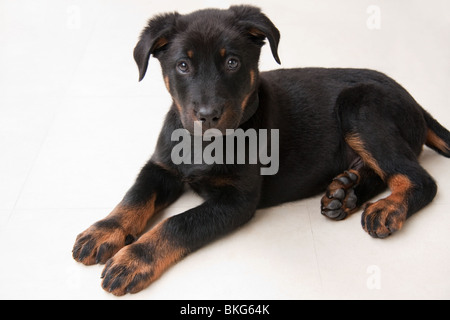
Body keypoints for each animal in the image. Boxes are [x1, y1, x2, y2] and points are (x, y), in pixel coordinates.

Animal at [72, 5, 448, 296]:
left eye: (233, 63)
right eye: (183, 65)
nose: (208, 115)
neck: (204, 145)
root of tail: (415, 101)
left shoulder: (236, 201)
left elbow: (178, 223)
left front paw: (135, 258)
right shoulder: (161, 167)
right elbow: (135, 195)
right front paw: (104, 230)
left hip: (360, 106)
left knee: (419, 178)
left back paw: (387, 207)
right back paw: (346, 192)